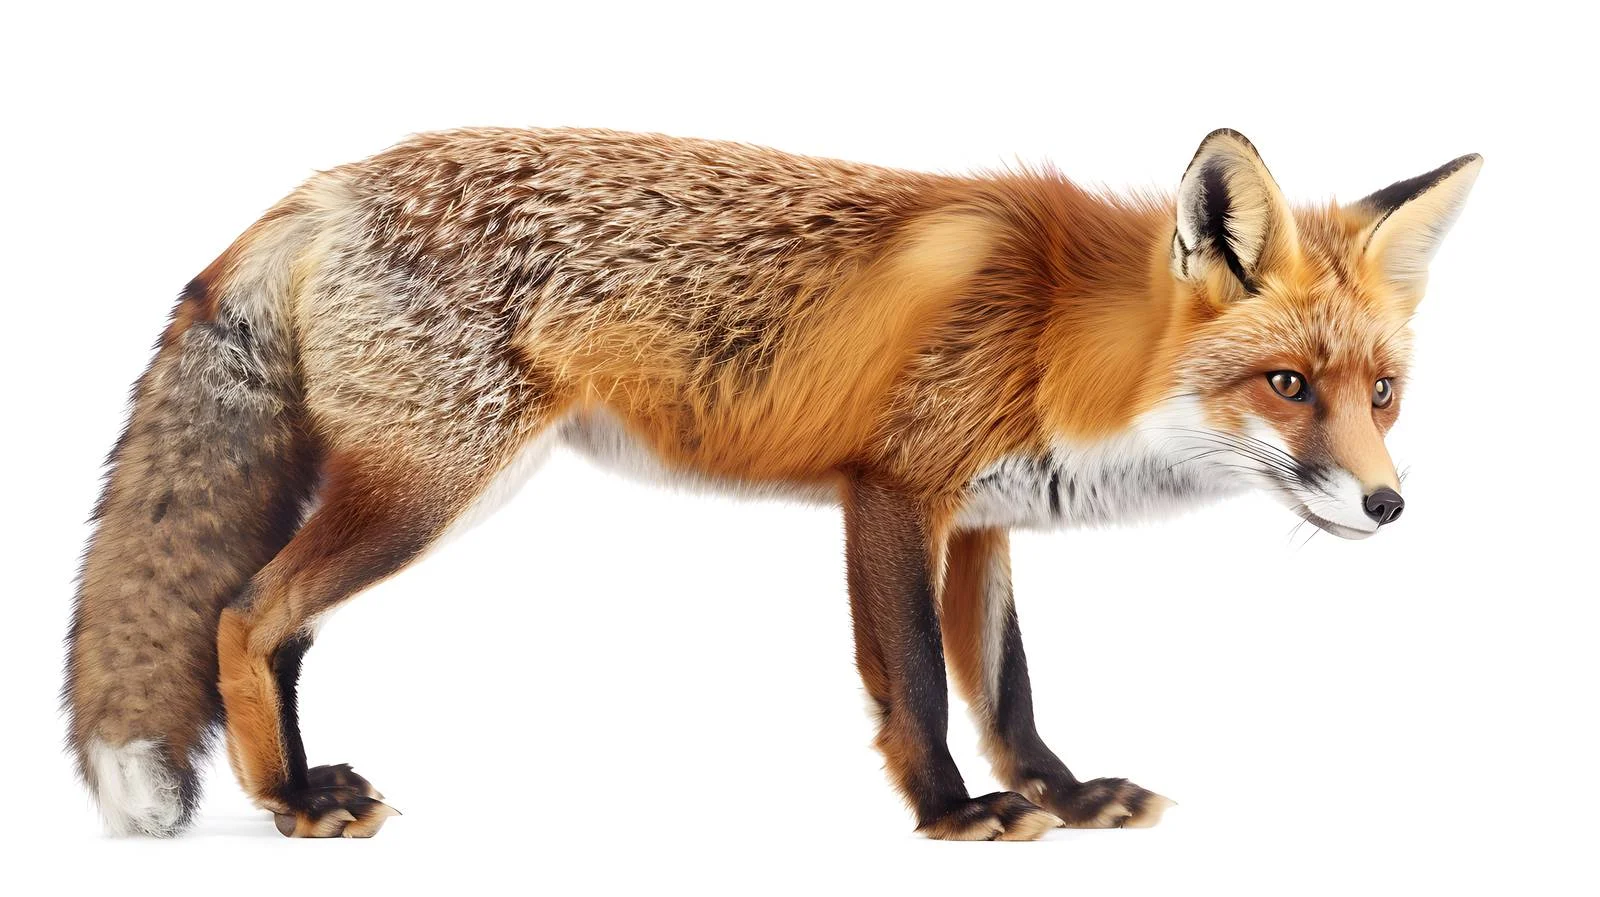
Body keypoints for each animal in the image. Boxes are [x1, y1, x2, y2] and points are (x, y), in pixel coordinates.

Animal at [64, 126, 1479, 840]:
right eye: (1287, 385)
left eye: (1382, 395)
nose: (1388, 505)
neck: (1056, 336)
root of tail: (330, 183)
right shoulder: (891, 490)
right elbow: (918, 685)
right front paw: (953, 814)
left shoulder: (983, 522)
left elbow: (1008, 690)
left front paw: (1063, 795)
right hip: (431, 485)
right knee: (242, 612)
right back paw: (284, 802)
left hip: (399, 489)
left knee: (282, 626)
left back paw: (302, 781)